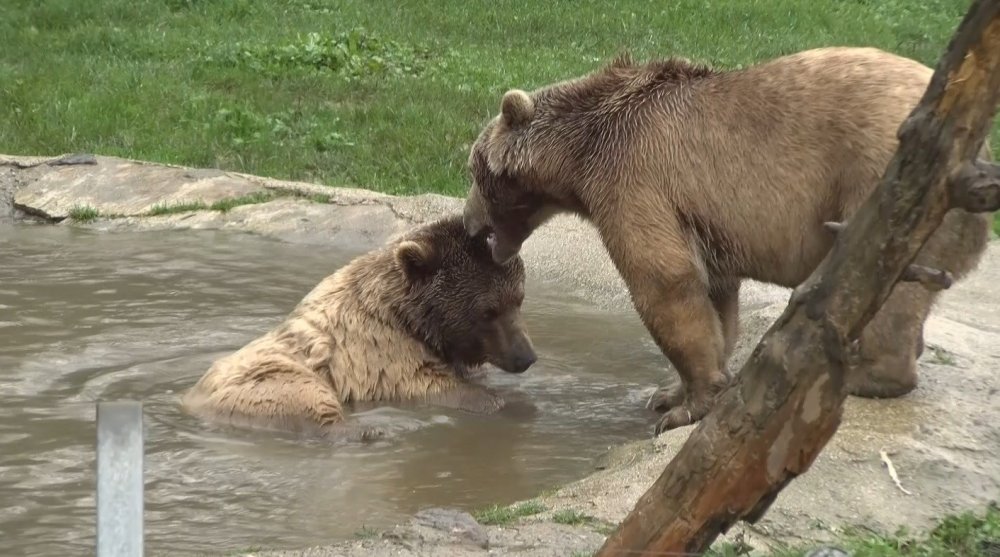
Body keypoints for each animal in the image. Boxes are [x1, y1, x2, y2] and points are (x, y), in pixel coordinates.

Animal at [180, 215, 540, 440]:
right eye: (488, 311)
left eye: (518, 298)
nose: (526, 357)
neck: (412, 318)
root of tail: (188, 401)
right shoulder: (380, 350)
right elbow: (428, 383)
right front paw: (503, 403)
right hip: (263, 378)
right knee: (303, 396)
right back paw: (369, 430)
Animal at [460, 46, 992, 434]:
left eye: (474, 168)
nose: (469, 226)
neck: (579, 152)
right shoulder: (701, 219)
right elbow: (716, 296)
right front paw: (670, 392)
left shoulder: (633, 177)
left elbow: (664, 280)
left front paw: (683, 408)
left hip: (883, 180)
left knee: (889, 277)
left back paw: (867, 373)